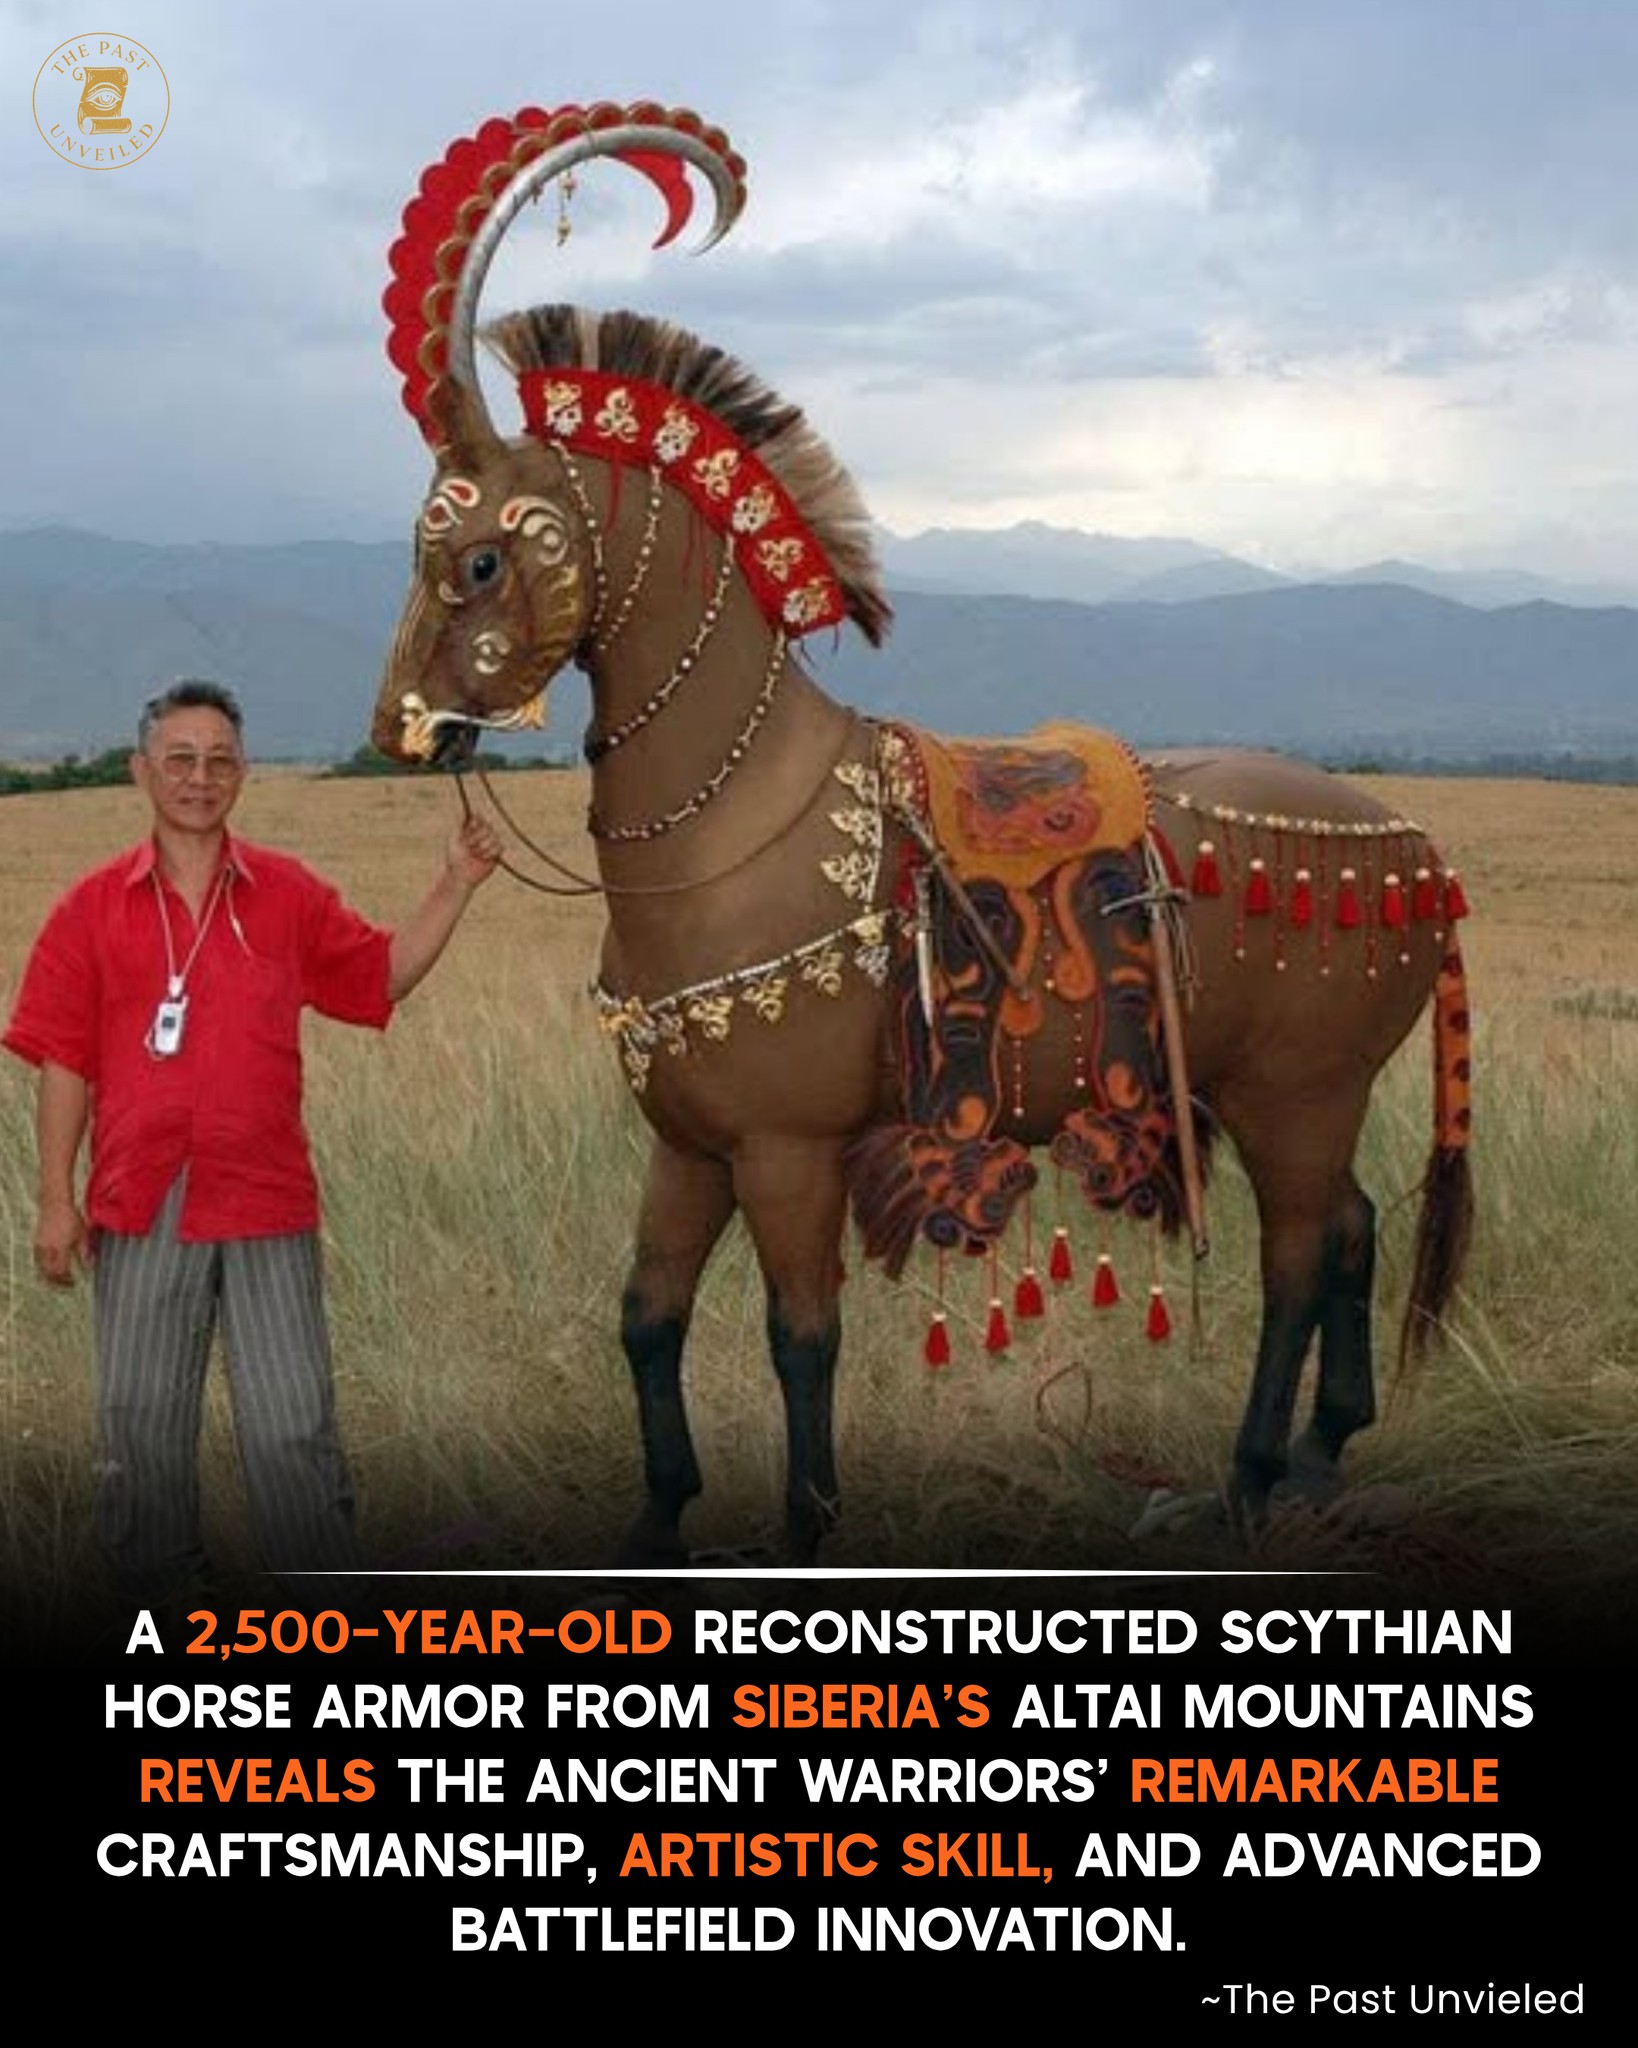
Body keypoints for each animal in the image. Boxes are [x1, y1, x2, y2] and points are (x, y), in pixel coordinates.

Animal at [370, 104, 1473, 1562]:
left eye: (482, 558)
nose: (401, 728)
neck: (741, 822)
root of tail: (1416, 850)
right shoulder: (689, 1146)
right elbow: (646, 1319)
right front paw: (658, 1517)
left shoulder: (789, 1152)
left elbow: (799, 1338)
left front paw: (805, 1528)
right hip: (1273, 1096)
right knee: (1349, 1225)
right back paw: (1321, 1449)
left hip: (1300, 1092)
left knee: (1299, 1253)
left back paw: (1246, 1475)